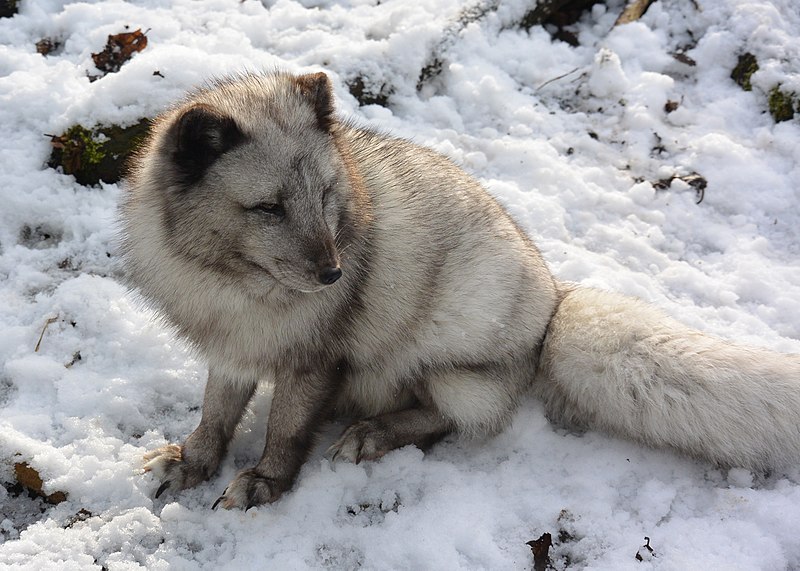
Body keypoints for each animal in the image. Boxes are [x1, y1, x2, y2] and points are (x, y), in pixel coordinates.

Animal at [119, 70, 800, 510]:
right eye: (267, 208)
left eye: (325, 197)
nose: (334, 274)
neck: (231, 287)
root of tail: (553, 307)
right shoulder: (231, 351)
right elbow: (215, 412)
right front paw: (194, 462)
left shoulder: (315, 361)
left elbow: (285, 430)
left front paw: (264, 483)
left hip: (443, 365)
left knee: (455, 419)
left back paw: (373, 433)